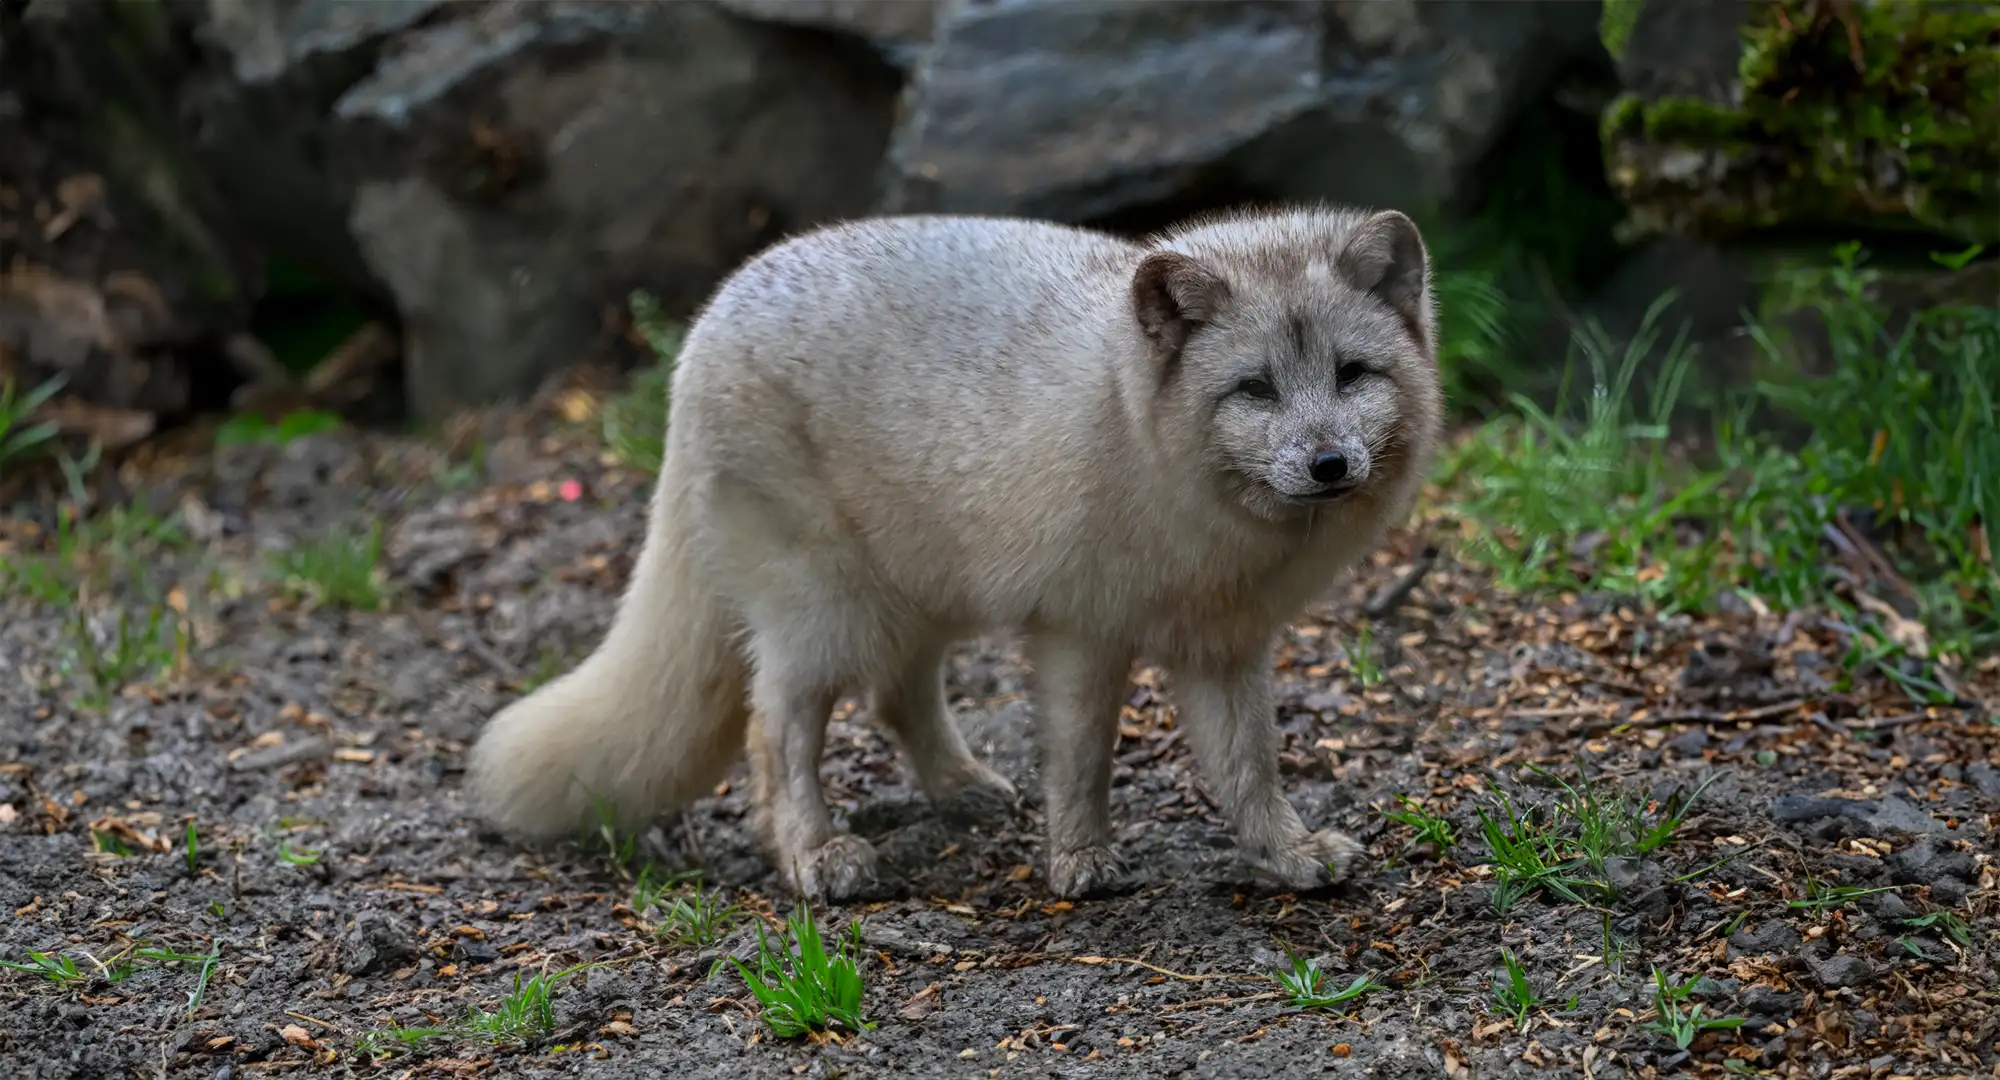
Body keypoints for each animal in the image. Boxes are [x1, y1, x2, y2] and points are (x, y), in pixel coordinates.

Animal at [464, 205, 1445, 901]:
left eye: (1353, 375)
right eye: (1255, 390)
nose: (1329, 464)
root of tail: (705, 322)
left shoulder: (1222, 645)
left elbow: (1249, 767)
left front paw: (1286, 853)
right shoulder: (1080, 631)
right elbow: (1083, 761)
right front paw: (1080, 862)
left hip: (924, 595)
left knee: (897, 698)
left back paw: (963, 788)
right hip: (826, 615)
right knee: (773, 727)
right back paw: (815, 855)